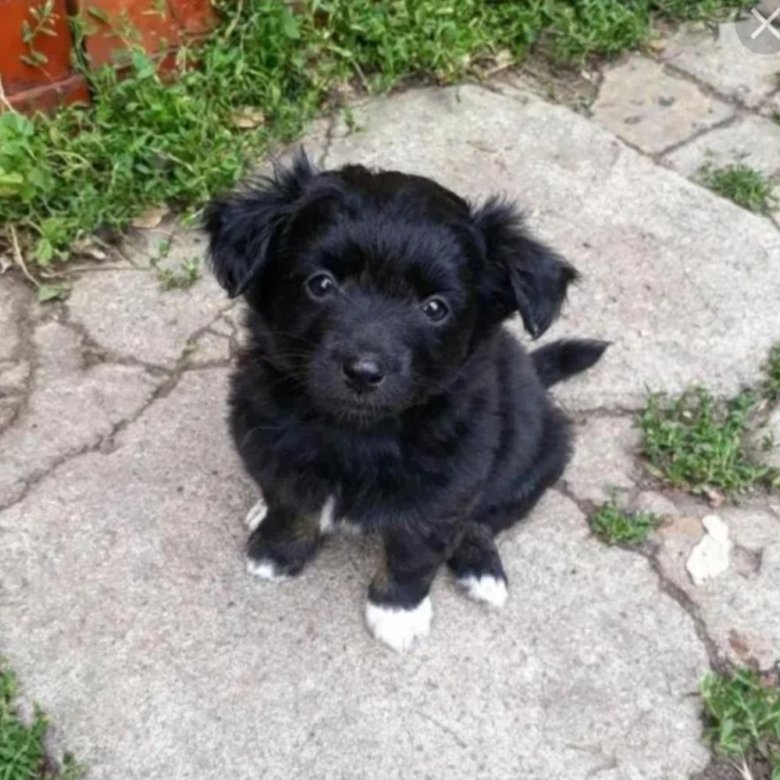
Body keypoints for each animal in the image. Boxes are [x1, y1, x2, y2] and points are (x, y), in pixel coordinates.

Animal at [204, 152, 606, 651]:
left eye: (435, 308)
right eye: (321, 284)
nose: (363, 371)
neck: (357, 431)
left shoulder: (447, 485)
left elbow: (416, 550)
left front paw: (396, 612)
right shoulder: (265, 437)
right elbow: (289, 500)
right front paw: (277, 550)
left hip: (538, 458)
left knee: (484, 519)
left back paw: (481, 568)